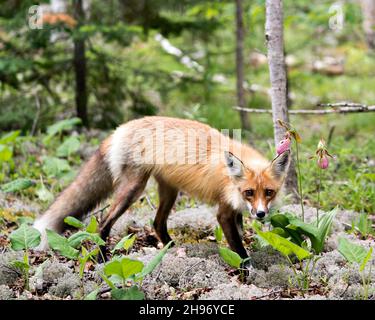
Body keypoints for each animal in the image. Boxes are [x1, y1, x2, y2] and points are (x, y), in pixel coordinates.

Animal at [33, 116, 292, 258]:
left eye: (269, 192)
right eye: (249, 192)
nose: (261, 214)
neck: (229, 177)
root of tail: (121, 128)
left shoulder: (235, 211)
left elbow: (240, 238)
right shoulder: (224, 212)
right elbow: (239, 250)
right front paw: (248, 272)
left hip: (170, 191)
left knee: (157, 223)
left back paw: (173, 250)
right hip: (133, 189)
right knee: (104, 223)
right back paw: (101, 259)